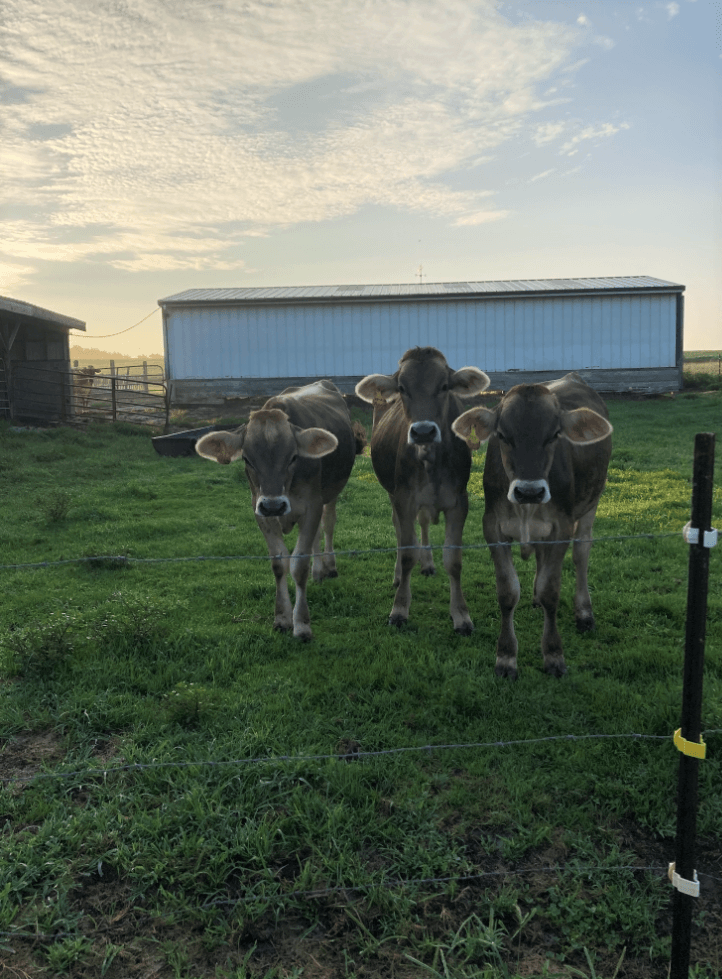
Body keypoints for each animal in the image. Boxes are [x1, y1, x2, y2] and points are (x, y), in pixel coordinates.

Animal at [195, 380, 366, 640]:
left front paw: (302, 623)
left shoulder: (312, 505)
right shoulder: (260, 512)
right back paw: (319, 572)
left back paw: (329, 566)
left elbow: (299, 565)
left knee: (328, 525)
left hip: (332, 492)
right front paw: (282, 618)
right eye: (247, 459)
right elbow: (279, 564)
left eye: (293, 457)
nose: (274, 505)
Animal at [355, 347, 490, 634]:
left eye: (444, 386)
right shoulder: (403, 498)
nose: (423, 431)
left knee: (425, 521)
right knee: (399, 530)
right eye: (402, 388)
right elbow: (407, 552)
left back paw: (427, 563)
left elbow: (454, 560)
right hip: (392, 491)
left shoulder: (459, 502)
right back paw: (400, 574)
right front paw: (399, 609)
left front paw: (461, 615)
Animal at [452, 372, 613, 679]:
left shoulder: (562, 527)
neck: (525, 509)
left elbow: (551, 591)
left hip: (592, 502)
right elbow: (507, 592)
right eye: (502, 435)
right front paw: (506, 657)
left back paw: (584, 613)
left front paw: (553, 655)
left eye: (555, 435)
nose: (530, 491)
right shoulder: (493, 527)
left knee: (581, 553)